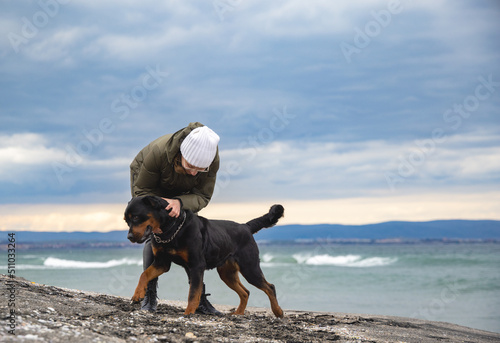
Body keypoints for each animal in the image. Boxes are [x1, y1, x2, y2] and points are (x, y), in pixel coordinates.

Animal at [125, 198, 286, 318]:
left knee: (270, 287)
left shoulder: (196, 266)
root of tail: (245, 226)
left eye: (136, 217)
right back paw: (238, 313)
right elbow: (144, 274)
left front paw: (188, 313)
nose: (129, 237)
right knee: (245, 292)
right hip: (227, 273)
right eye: (127, 220)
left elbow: (193, 293)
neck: (172, 229)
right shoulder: (161, 263)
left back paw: (278, 311)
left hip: (249, 267)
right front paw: (138, 293)